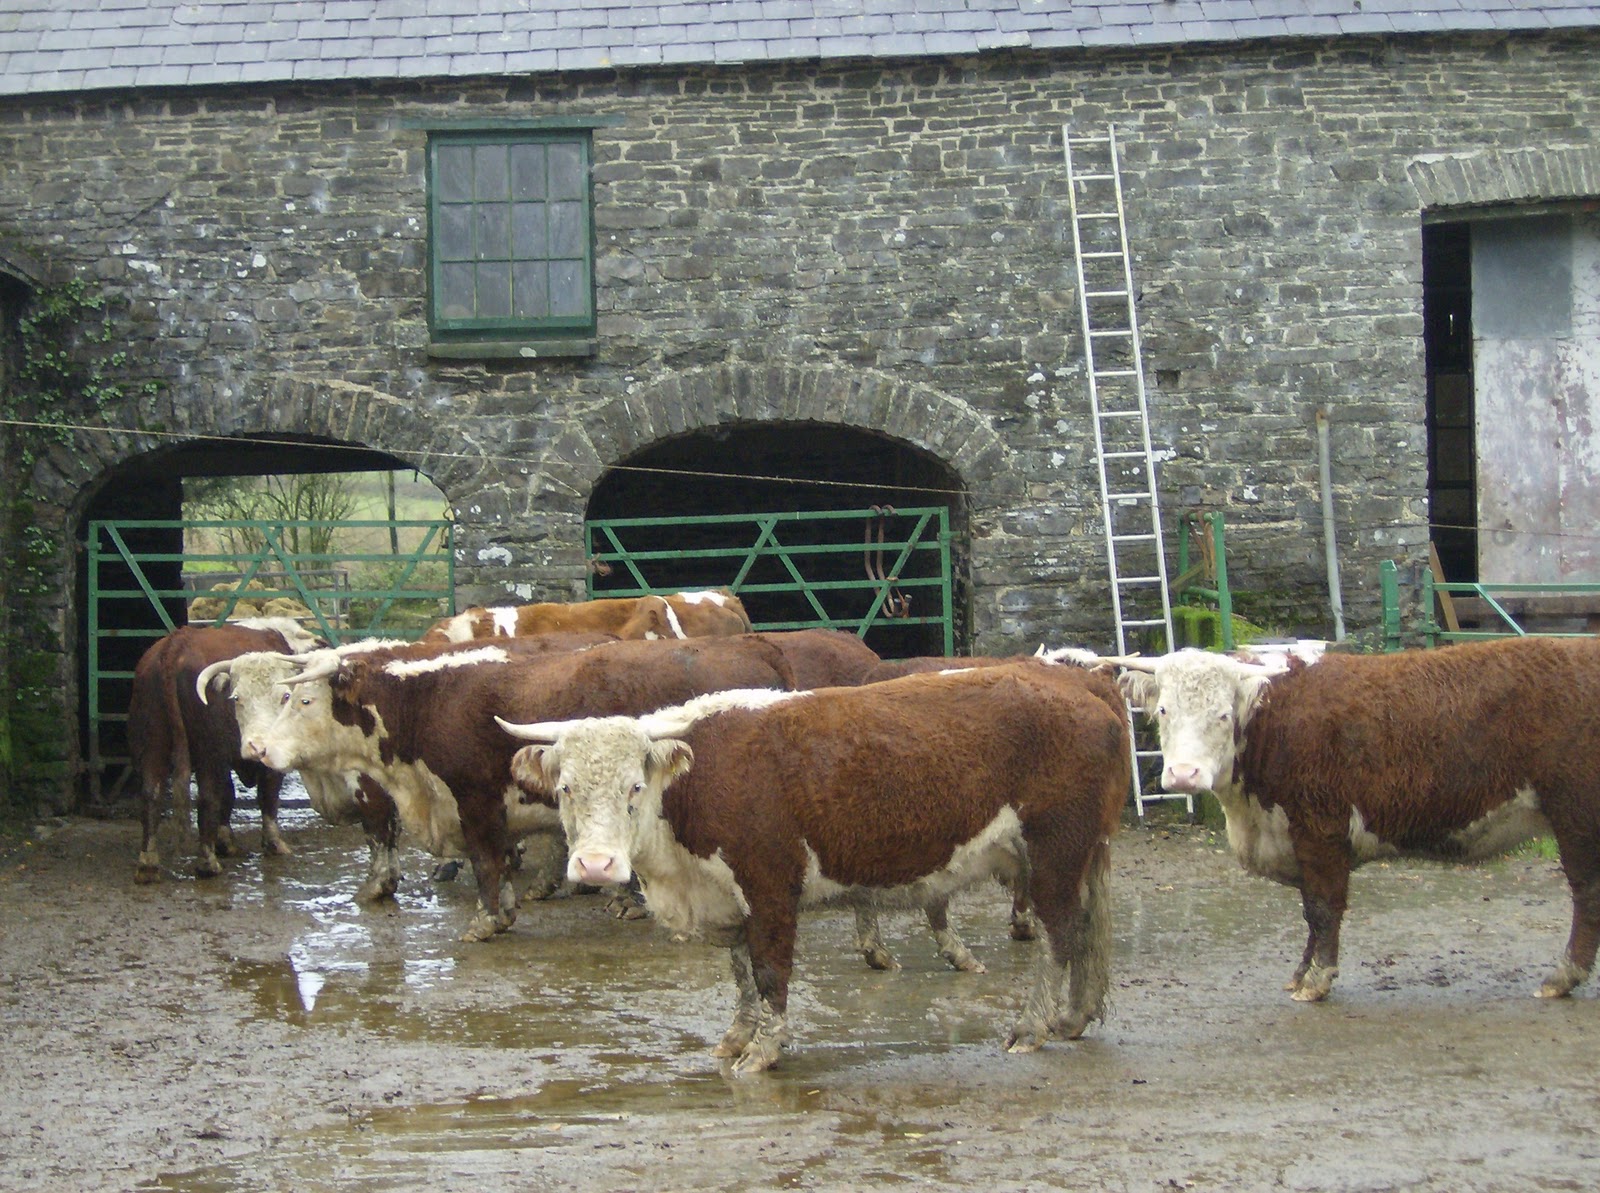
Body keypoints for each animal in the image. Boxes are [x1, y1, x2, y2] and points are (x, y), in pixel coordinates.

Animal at [129, 618, 321, 882]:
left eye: (284, 696)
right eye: (236, 697)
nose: (256, 746)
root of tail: (177, 643)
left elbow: (229, 793)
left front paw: (226, 841)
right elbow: (267, 795)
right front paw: (273, 844)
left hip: (153, 742)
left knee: (151, 794)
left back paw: (148, 864)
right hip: (207, 750)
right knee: (207, 798)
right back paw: (207, 863)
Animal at [250, 634, 797, 941]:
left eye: (301, 700)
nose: (259, 749)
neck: (429, 700)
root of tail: (753, 644)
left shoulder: (474, 800)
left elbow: (485, 861)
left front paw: (486, 921)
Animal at [497, 660, 1132, 1072]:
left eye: (634, 786)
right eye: (565, 788)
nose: (596, 865)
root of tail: (1081, 684)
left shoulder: (771, 885)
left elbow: (770, 971)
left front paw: (762, 1052)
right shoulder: (732, 897)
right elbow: (741, 970)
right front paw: (737, 1037)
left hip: (1055, 852)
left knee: (1058, 936)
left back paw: (1033, 1027)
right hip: (1080, 855)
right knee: (1088, 933)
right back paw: (1074, 1017)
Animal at [1114, 639, 1600, 1003]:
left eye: (1222, 714)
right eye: (1164, 711)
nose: (1184, 774)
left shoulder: (1320, 830)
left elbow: (1323, 908)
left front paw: (1315, 981)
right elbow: (1310, 912)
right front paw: (1301, 972)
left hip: (1576, 815)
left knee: (1586, 893)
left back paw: (1563, 977)